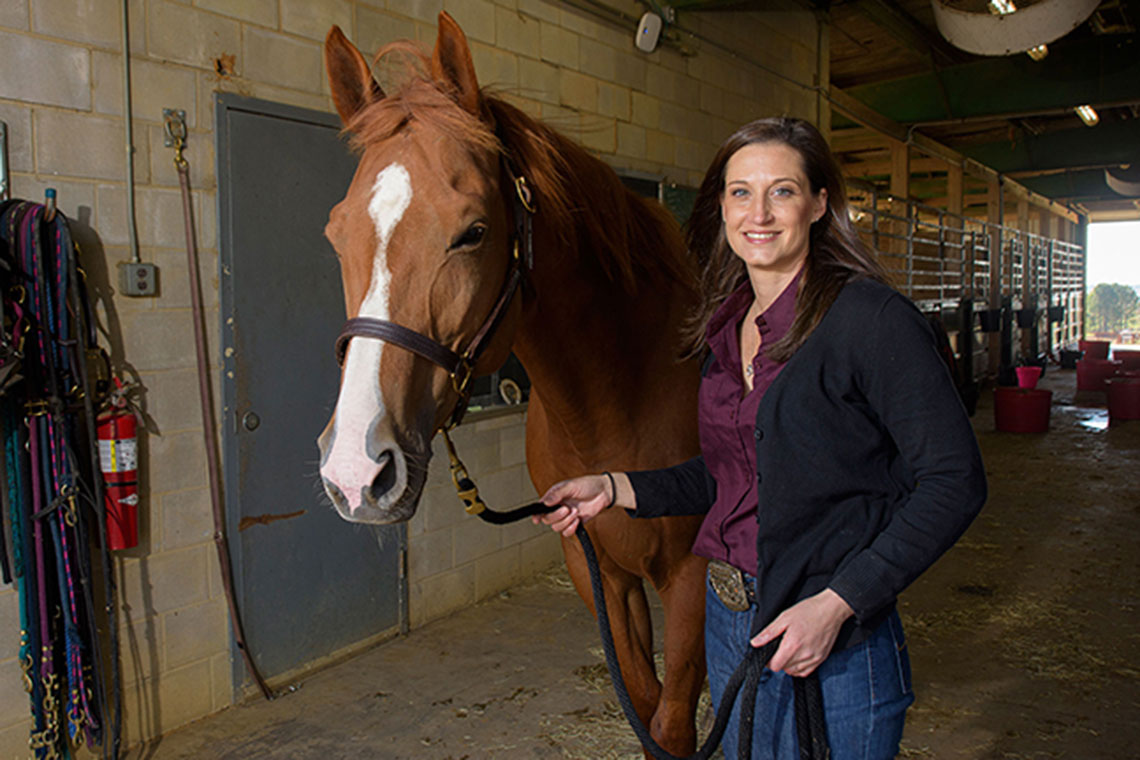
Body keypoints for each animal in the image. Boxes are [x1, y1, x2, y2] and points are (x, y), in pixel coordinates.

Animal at [319, 13, 702, 756]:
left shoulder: (690, 576)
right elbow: (644, 705)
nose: (355, 471)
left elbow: (674, 722)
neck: (618, 403)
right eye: (335, 233)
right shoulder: (598, 569)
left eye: (473, 232)